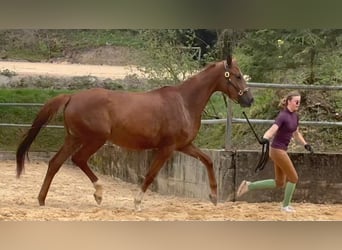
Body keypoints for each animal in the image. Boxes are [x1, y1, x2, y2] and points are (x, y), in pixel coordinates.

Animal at [16, 53, 252, 210]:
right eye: (237, 76)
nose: (249, 99)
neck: (184, 102)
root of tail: (71, 97)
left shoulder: (184, 145)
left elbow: (208, 160)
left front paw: (214, 196)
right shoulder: (167, 148)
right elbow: (150, 175)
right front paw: (137, 202)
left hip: (73, 138)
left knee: (55, 163)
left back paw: (42, 199)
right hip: (94, 140)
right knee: (78, 159)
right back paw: (98, 194)